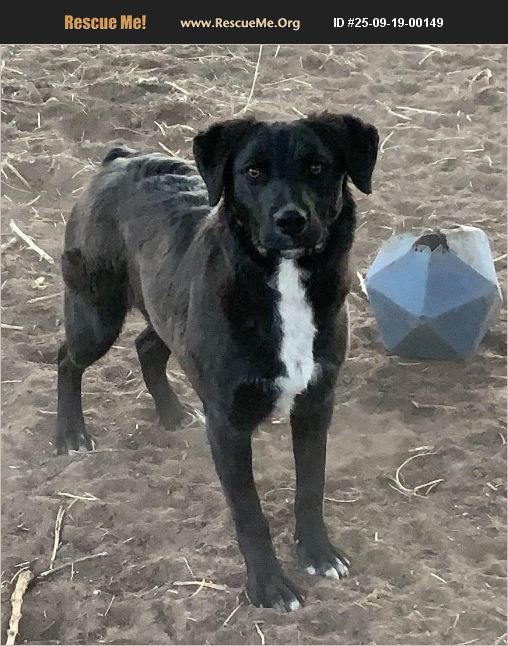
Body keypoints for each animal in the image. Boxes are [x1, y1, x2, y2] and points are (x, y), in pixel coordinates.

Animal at [55, 112, 379, 611]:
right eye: (253, 172)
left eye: (318, 167)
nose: (291, 220)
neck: (282, 284)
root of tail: (119, 160)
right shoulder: (228, 424)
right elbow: (249, 513)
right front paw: (268, 586)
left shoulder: (315, 405)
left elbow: (311, 488)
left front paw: (318, 553)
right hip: (96, 315)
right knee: (65, 359)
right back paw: (72, 433)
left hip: (164, 310)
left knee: (147, 346)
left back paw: (171, 413)